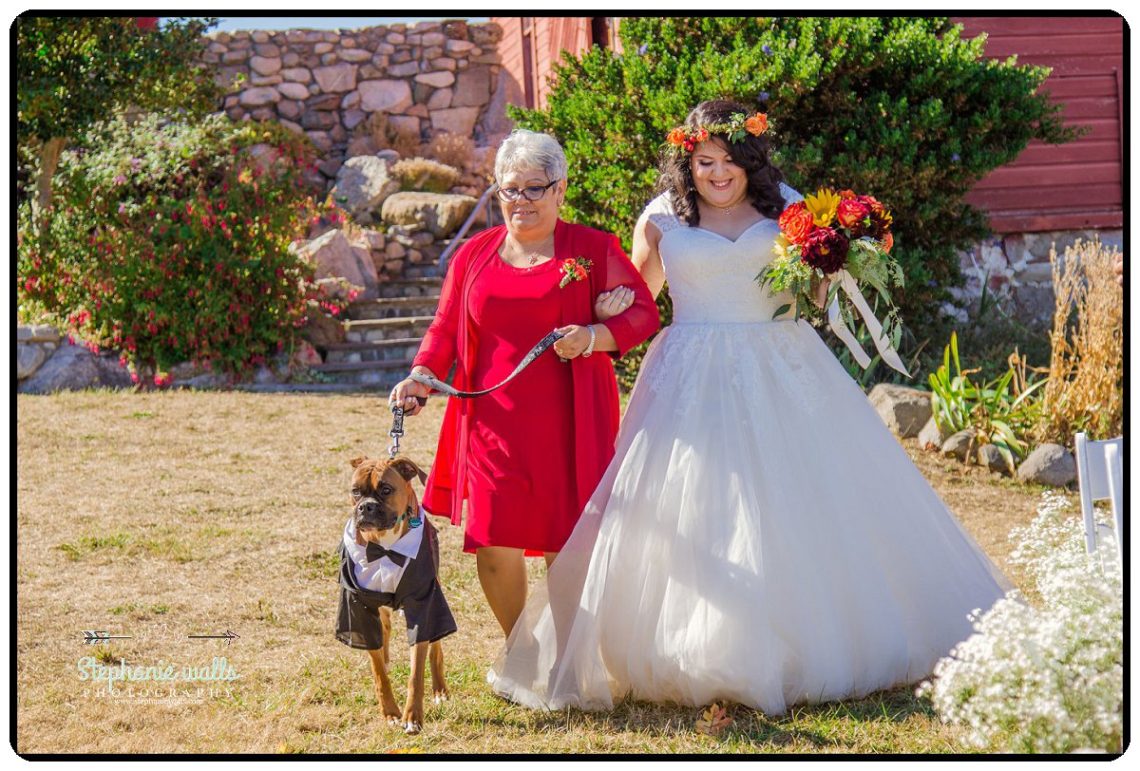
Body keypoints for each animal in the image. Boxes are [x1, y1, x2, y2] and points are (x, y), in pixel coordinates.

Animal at [332, 458, 453, 734]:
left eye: (386, 489)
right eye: (355, 491)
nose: (366, 506)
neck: (384, 547)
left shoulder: (423, 603)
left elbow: (416, 672)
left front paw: (412, 716)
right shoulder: (359, 607)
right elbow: (379, 673)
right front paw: (390, 713)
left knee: (436, 645)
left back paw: (440, 689)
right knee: (384, 629)